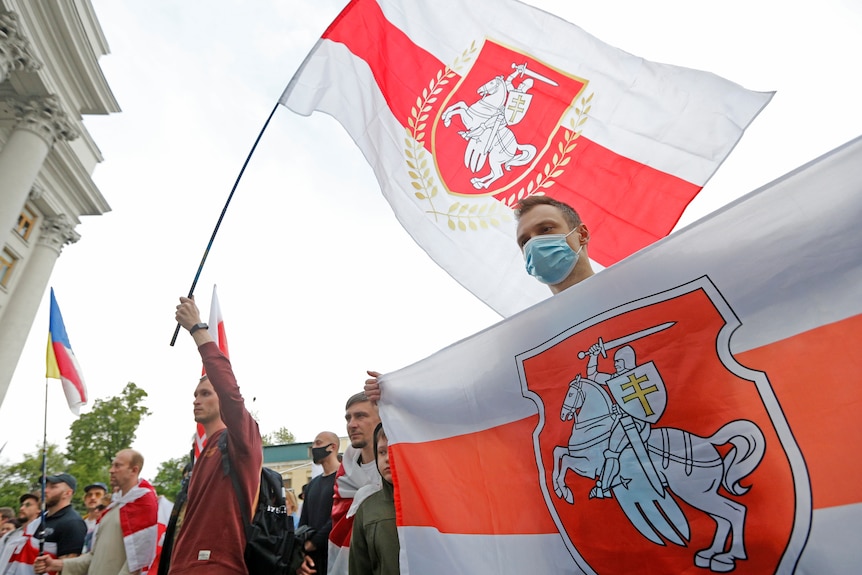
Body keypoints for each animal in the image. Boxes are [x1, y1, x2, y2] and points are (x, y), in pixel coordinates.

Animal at [552, 378, 764, 572]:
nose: (562, 415)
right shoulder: (580, 458)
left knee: (735, 511)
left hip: (694, 493)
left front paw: (565, 491)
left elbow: (566, 460)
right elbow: (558, 452)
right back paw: (709, 555)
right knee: (723, 518)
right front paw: (560, 489)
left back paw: (727, 558)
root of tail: (710, 442)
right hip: (703, 493)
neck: (595, 428)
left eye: (570, 394)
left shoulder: (589, 465)